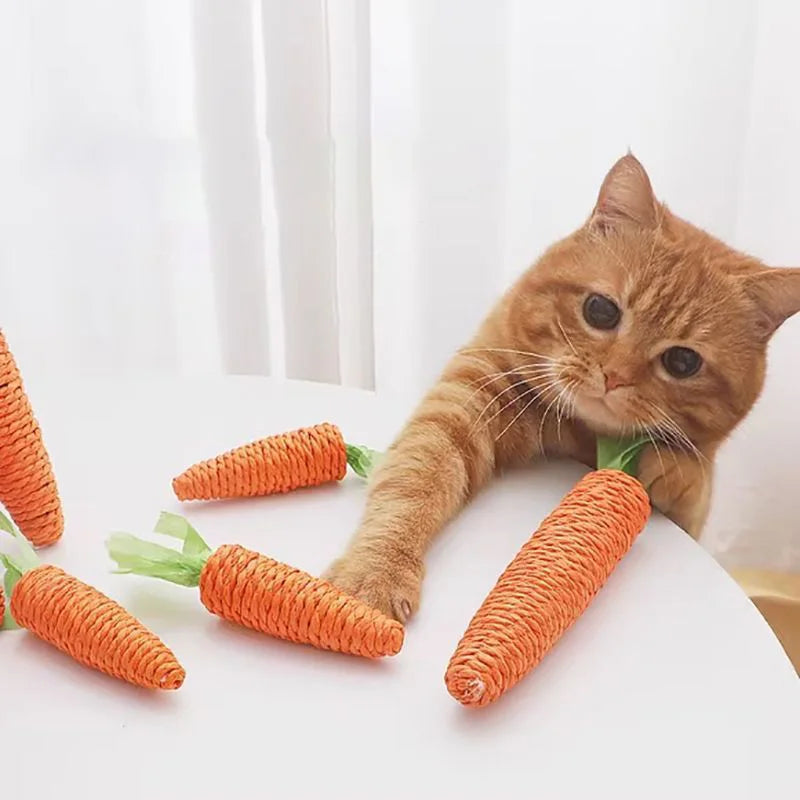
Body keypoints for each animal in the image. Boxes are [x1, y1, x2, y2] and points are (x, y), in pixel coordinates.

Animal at [324, 153, 800, 620]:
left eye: (682, 362)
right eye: (601, 310)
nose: (615, 376)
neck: (575, 433)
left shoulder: (692, 520)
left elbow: (695, 480)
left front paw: (676, 468)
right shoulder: (462, 405)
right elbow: (411, 487)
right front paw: (375, 574)